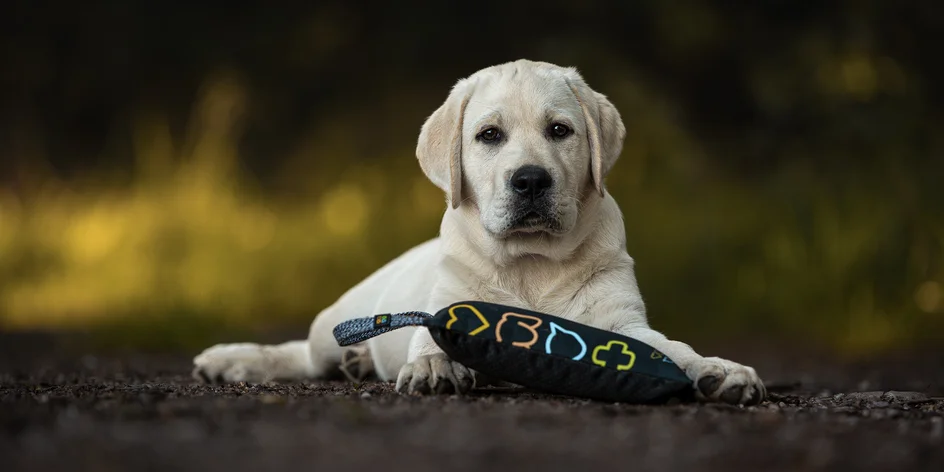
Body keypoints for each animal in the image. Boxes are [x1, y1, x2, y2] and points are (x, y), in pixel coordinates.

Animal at [192, 60, 768, 406]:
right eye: (489, 135)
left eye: (560, 130)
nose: (530, 180)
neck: (531, 262)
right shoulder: (446, 306)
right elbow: (428, 341)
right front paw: (432, 367)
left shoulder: (621, 323)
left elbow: (671, 348)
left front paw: (719, 368)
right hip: (334, 319)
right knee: (302, 356)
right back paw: (238, 359)